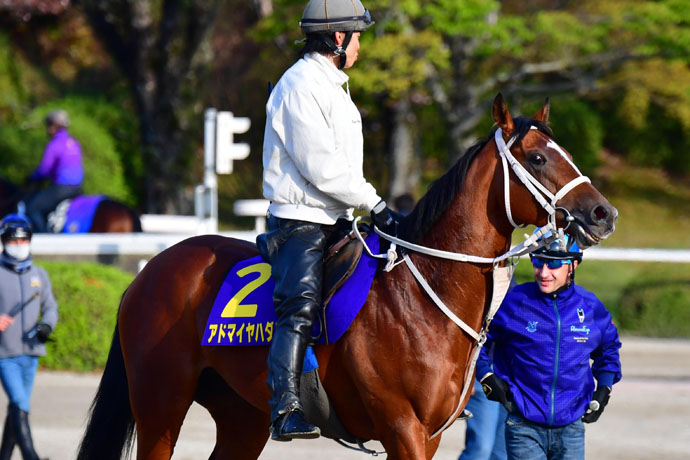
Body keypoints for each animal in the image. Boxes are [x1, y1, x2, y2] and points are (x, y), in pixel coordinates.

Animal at [77, 93, 617, 460]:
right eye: (539, 158)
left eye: (566, 153)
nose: (602, 213)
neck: (424, 292)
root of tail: (151, 270)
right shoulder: (403, 427)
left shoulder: (431, 433)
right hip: (160, 406)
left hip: (243, 417)